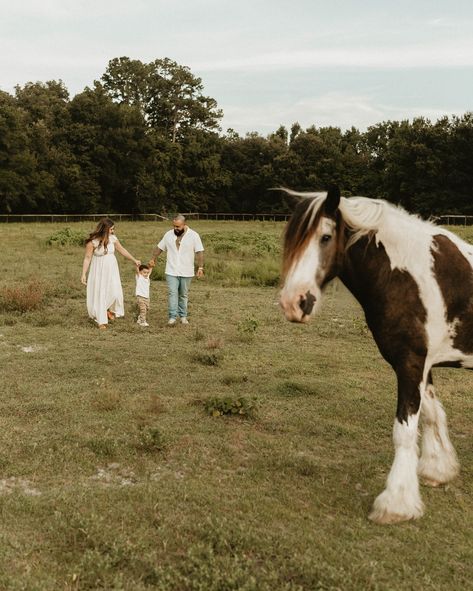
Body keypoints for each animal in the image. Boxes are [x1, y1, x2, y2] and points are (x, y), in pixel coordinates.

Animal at [278, 187, 470, 524]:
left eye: (325, 237)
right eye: (293, 239)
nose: (294, 302)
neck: (407, 275)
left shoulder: (410, 364)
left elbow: (404, 431)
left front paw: (395, 504)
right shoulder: (422, 364)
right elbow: (432, 414)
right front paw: (438, 470)